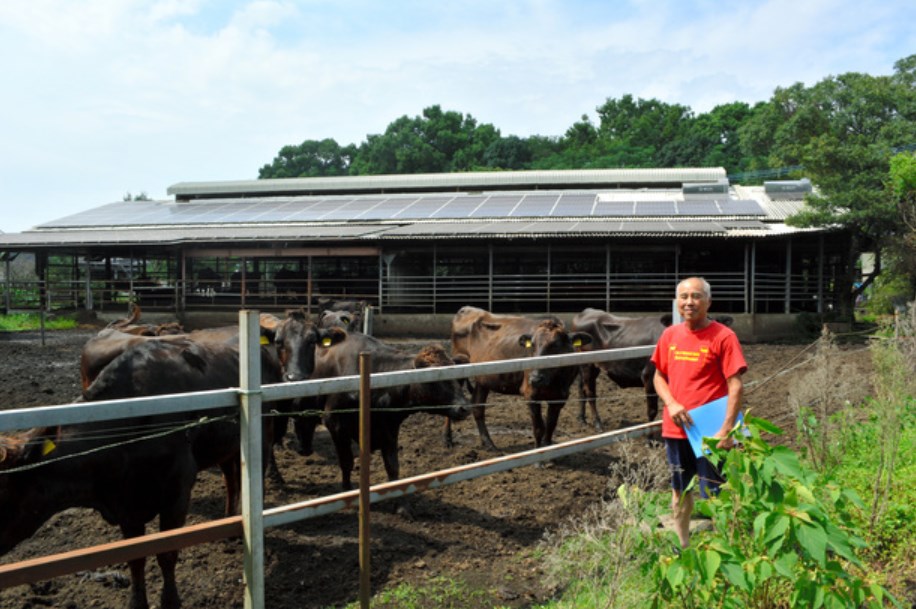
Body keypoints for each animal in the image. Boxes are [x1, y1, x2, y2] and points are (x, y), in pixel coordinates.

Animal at [448, 306, 592, 448]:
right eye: (532, 345)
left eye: (555, 345)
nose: (535, 379)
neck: (555, 381)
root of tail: (465, 309)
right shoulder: (530, 393)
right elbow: (539, 428)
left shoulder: (560, 396)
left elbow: (551, 425)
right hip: (458, 366)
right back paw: (447, 440)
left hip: (483, 380)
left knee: (478, 407)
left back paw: (489, 443)